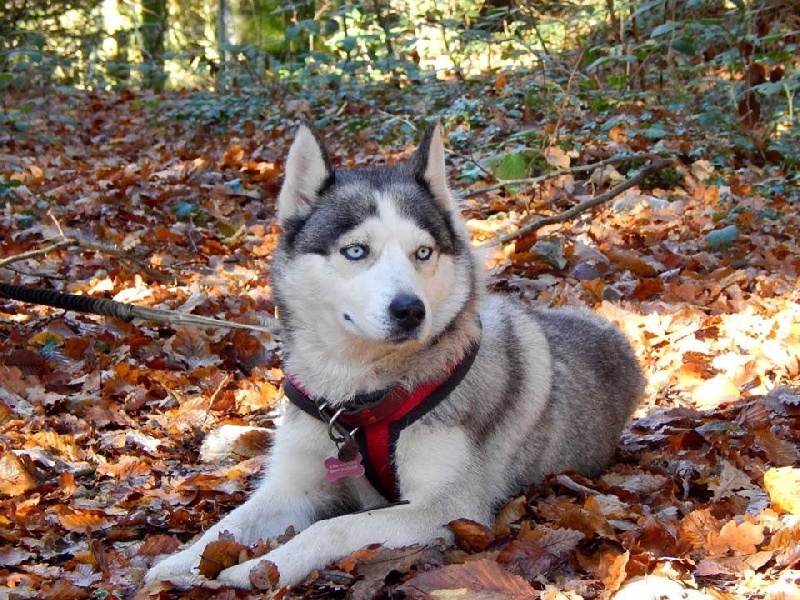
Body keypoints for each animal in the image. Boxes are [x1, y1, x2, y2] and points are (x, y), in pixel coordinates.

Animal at [145, 123, 644, 592]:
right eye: (355, 251)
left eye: (422, 252)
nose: (409, 309)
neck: (356, 396)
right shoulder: (292, 484)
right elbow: (226, 526)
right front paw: (176, 564)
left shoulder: (447, 508)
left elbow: (331, 528)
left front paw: (254, 569)